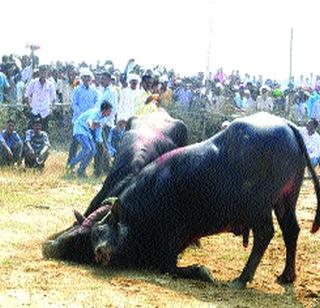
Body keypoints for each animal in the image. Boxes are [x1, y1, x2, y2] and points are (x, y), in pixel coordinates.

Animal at [43, 112, 320, 288]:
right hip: (286, 200)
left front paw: (203, 271)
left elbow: (170, 266)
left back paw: (242, 279)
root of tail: (287, 126)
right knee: (291, 231)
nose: (49, 247)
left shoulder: (169, 246)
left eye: (90, 237)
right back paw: (286, 276)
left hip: (259, 208)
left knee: (265, 234)